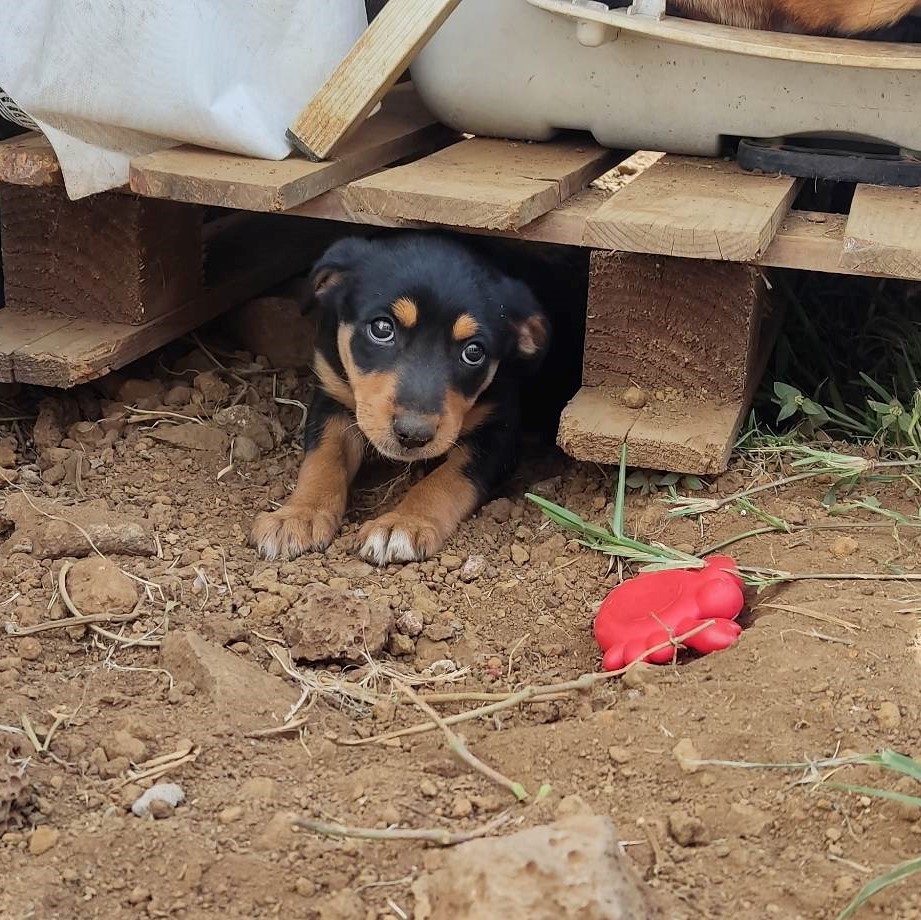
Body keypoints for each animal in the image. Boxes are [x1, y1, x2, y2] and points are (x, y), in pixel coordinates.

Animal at [250, 234, 548, 564]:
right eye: (382, 328)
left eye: (474, 352)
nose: (413, 435)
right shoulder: (331, 394)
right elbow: (324, 459)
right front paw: (299, 515)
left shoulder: (500, 433)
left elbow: (446, 479)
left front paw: (403, 523)